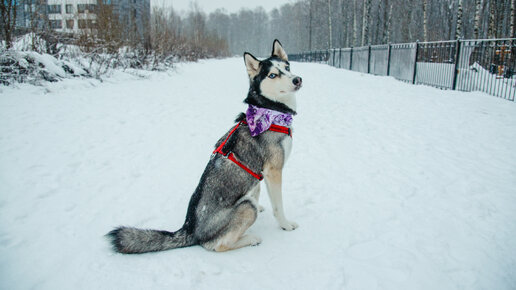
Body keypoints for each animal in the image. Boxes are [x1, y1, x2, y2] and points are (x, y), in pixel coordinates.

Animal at [109, 39, 302, 253]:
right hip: (245, 208)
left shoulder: (259, 174)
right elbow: (278, 206)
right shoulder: (274, 171)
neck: (270, 111)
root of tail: (189, 228)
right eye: (273, 75)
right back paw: (250, 239)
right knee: (215, 245)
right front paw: (285, 225)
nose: (297, 80)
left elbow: (256, 191)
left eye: (287, 68)